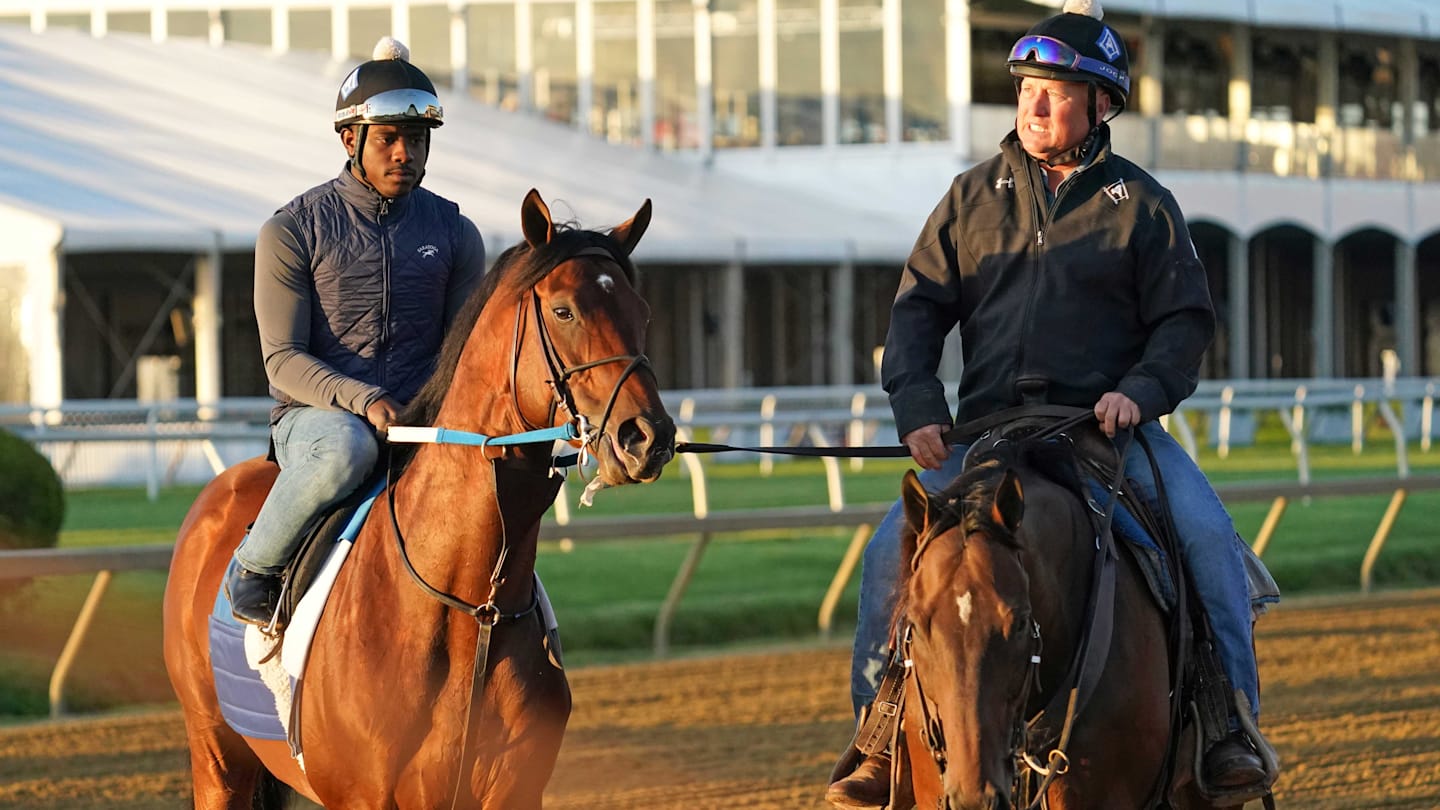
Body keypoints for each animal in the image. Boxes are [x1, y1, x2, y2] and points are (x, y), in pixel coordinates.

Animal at [163, 189, 675, 809]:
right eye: (564, 311)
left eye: (641, 312)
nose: (647, 437)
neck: (471, 607)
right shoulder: (365, 796)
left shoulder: (514, 789)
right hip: (216, 750)